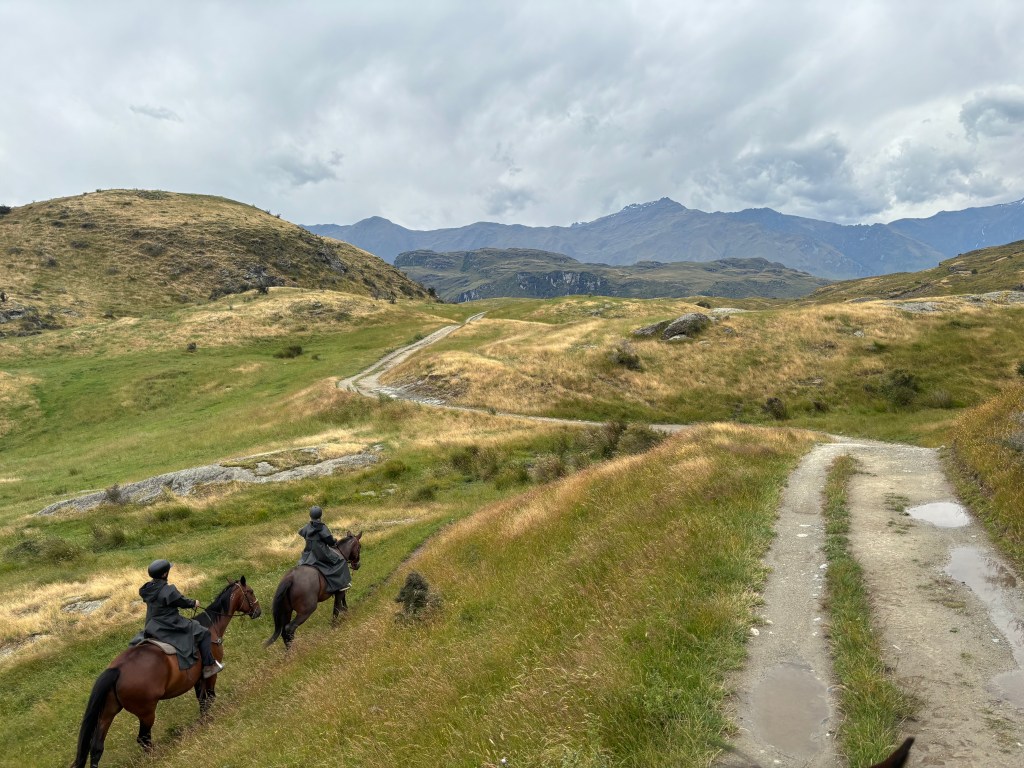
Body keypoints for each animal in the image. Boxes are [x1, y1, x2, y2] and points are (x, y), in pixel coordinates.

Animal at [74, 576, 261, 768]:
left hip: (107, 712)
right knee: (143, 739)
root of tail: (116, 670)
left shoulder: (197, 679)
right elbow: (210, 697)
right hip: (146, 712)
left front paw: (204, 720)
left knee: (97, 747)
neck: (211, 626)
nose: (258, 611)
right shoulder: (210, 675)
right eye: (250, 592)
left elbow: (202, 701)